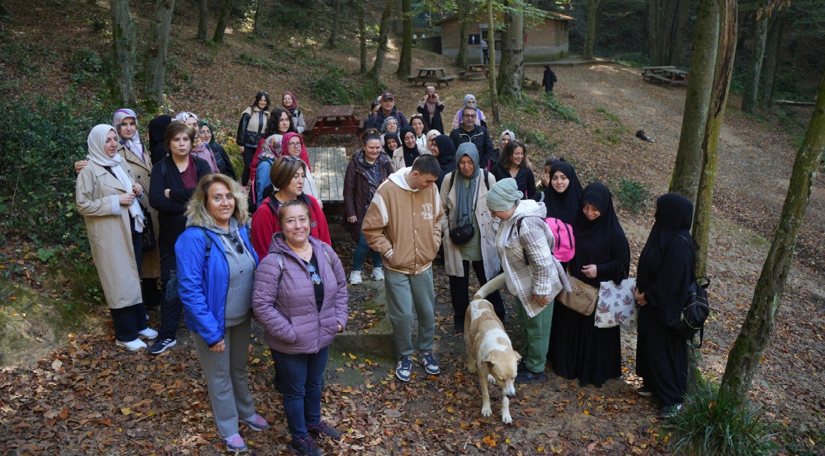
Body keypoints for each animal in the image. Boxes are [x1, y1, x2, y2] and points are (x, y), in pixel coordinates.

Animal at [466, 272, 520, 422]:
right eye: (501, 379)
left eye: (515, 377)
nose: (512, 395)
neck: (498, 344)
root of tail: (478, 299)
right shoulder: (482, 375)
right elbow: (486, 394)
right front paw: (486, 409)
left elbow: (505, 400)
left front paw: (506, 414)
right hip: (467, 338)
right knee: (469, 352)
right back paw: (471, 365)